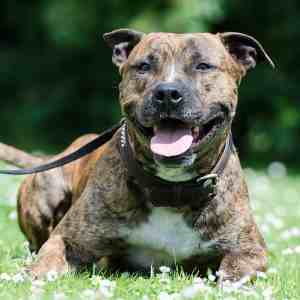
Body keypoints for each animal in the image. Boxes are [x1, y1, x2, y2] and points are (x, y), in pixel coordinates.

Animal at [0, 28, 274, 282]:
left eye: (203, 66)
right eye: (143, 66)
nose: (167, 93)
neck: (171, 191)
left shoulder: (249, 250)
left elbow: (233, 275)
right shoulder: (67, 240)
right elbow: (46, 263)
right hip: (46, 191)